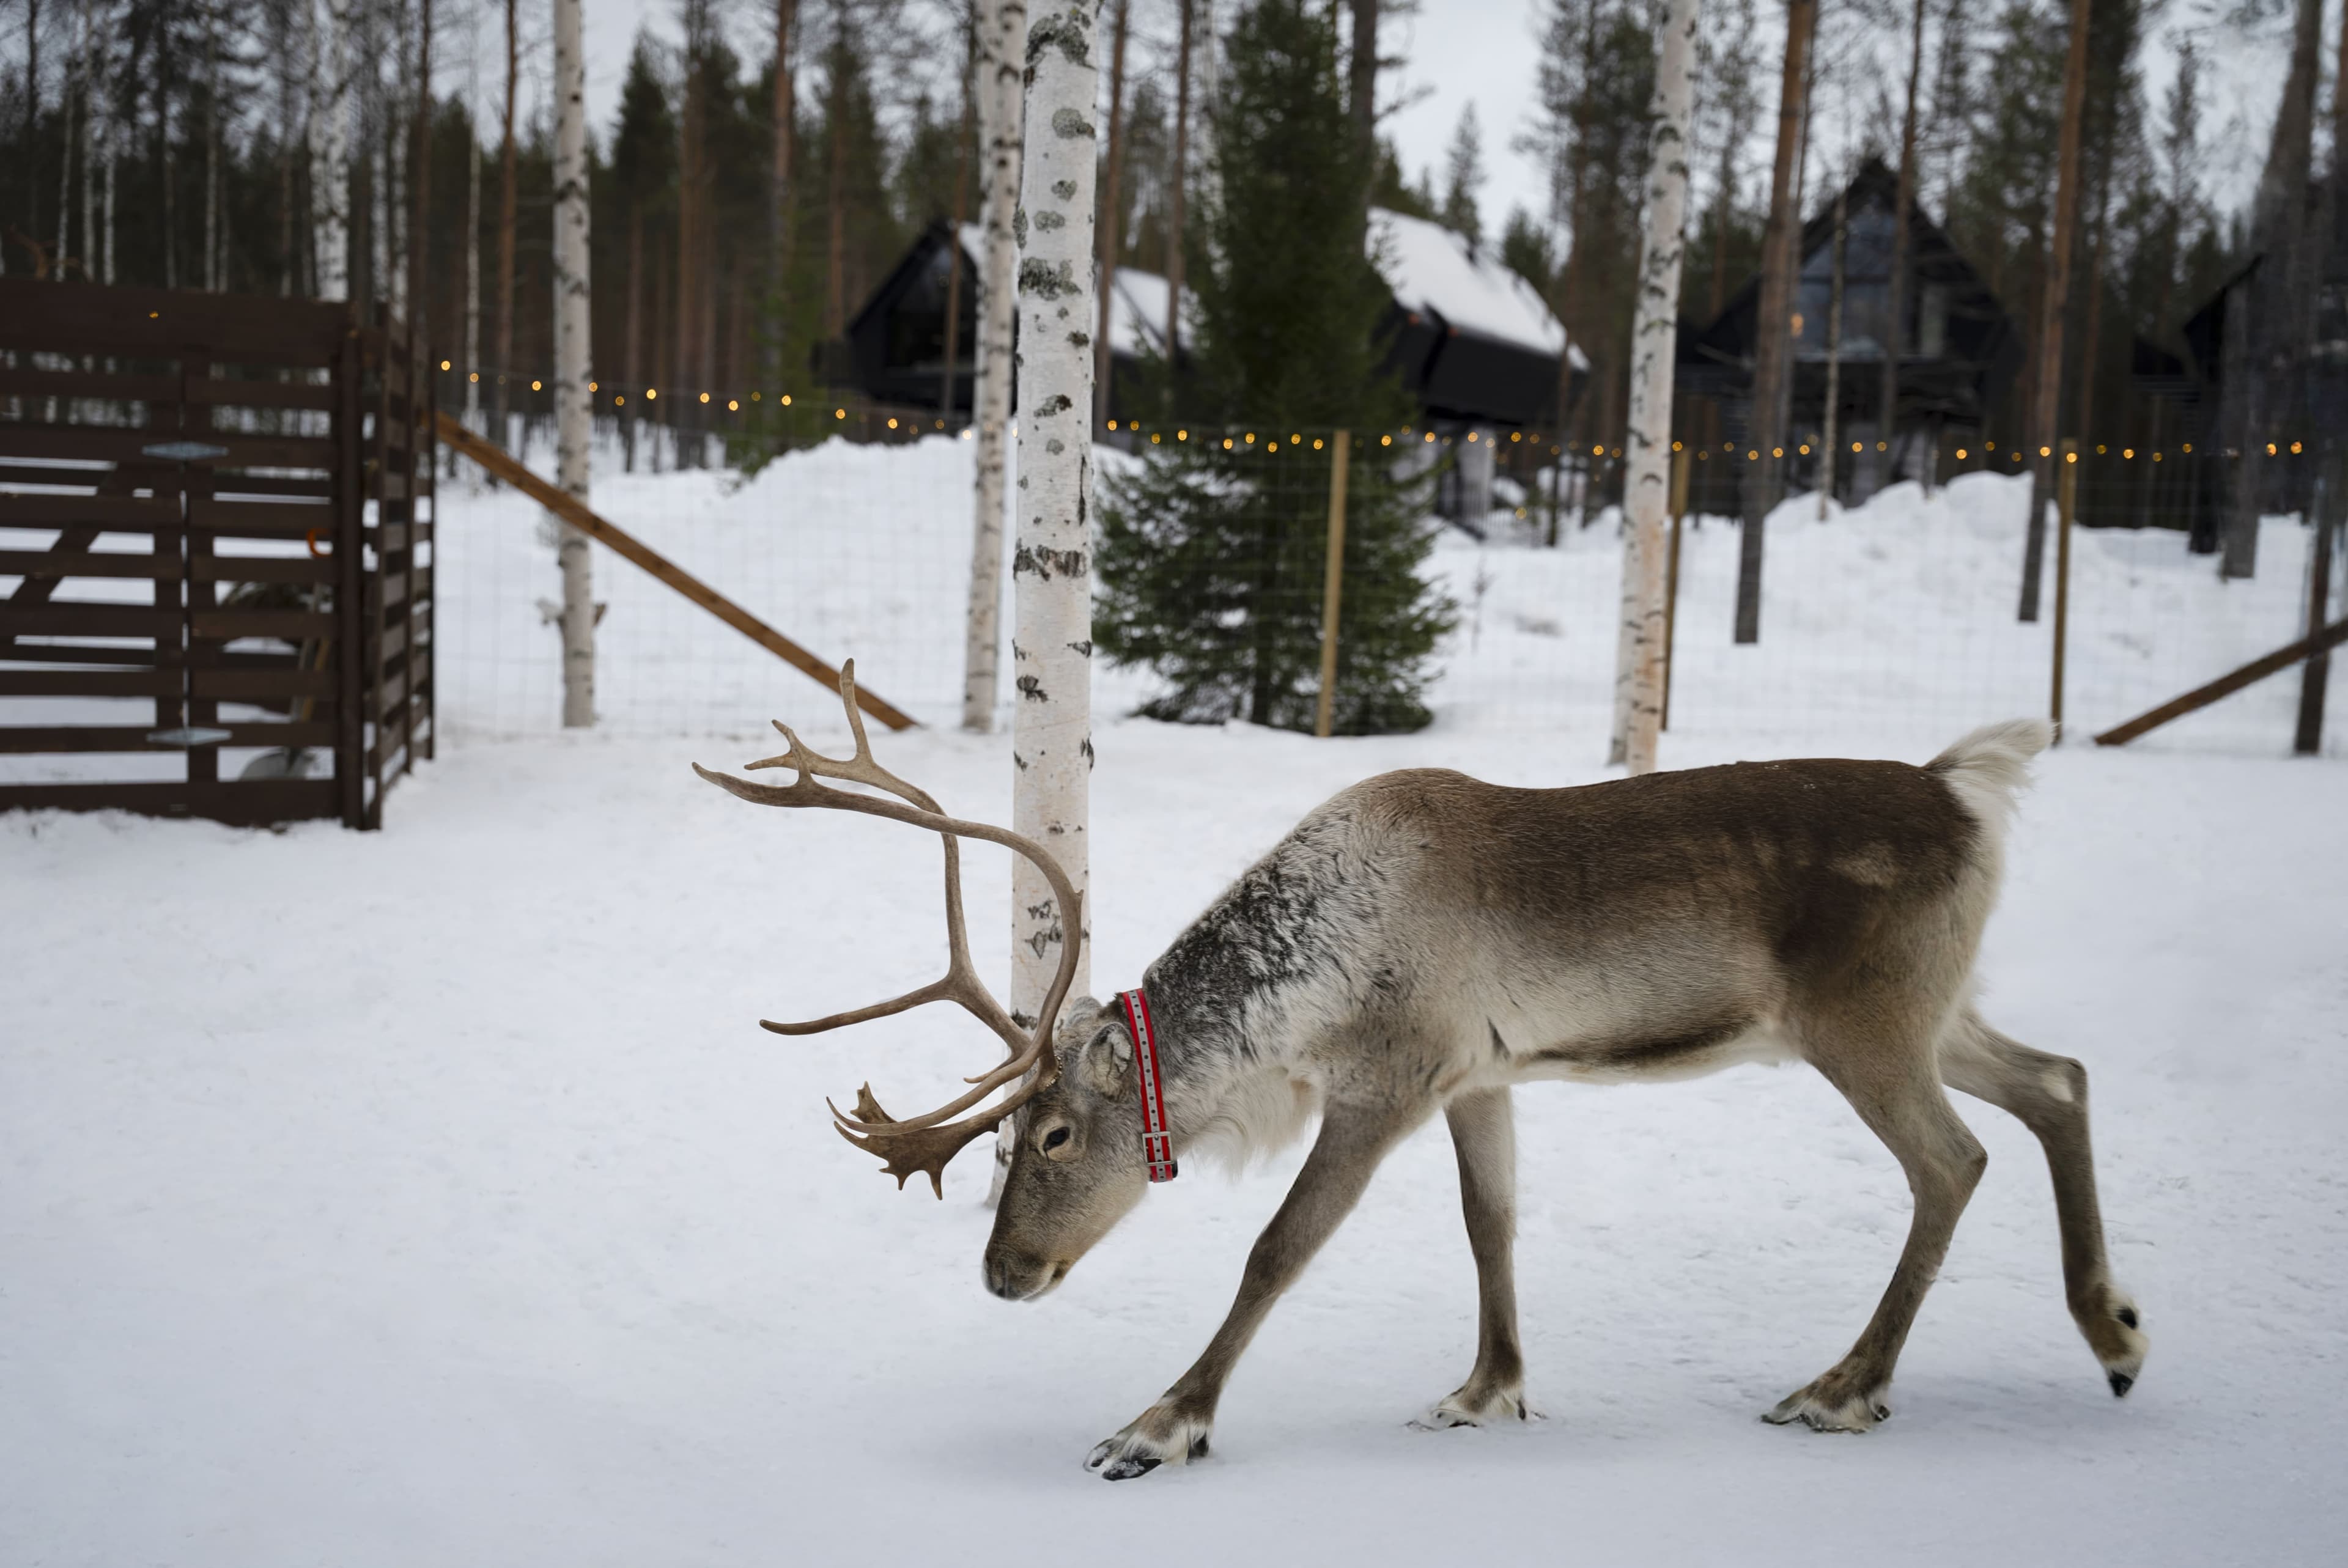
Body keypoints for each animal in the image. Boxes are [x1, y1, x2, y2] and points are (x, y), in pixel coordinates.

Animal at [696, 667, 2147, 1481]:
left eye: (1047, 1137)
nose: (1004, 1275)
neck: (1304, 990)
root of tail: (1968, 792)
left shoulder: (1386, 1081)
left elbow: (1276, 1251)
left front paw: (1161, 1425)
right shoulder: (1478, 1077)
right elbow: (1489, 1222)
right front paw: (1487, 1389)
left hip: (1865, 1021)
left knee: (1955, 1158)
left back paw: (1844, 1390)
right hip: (1931, 1009)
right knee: (2061, 1078)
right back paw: (2114, 1332)